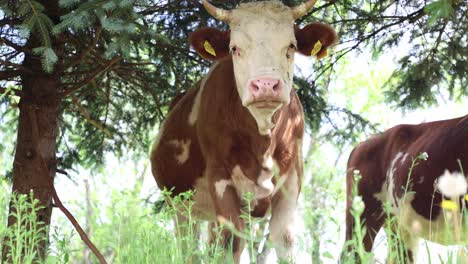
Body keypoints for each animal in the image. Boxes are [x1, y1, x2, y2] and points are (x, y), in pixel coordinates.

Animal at [150, 0, 336, 260]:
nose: (266, 85)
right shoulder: (220, 178)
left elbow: (283, 240)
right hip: (180, 206)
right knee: (190, 248)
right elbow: (231, 242)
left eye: (291, 46)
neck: (262, 143)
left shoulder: (292, 180)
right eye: (235, 48)